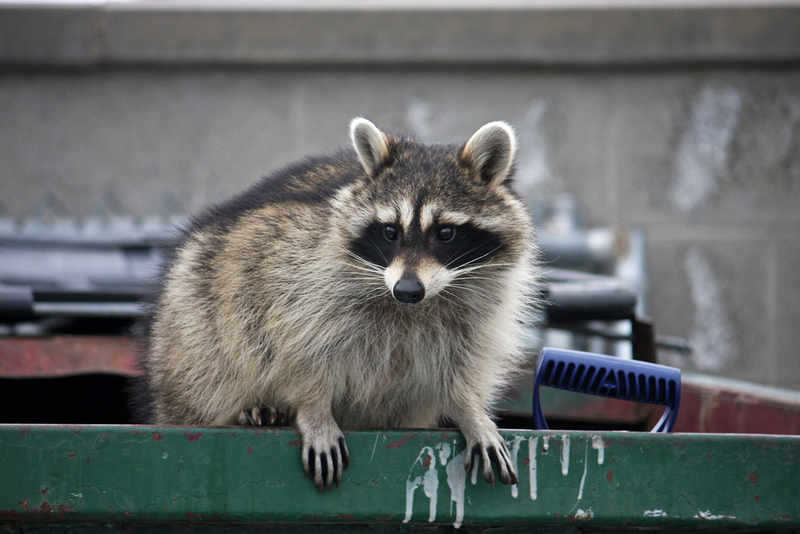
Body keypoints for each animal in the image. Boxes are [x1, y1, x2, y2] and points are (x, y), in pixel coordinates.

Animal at [139, 118, 536, 494]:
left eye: (446, 233)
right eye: (390, 232)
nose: (407, 290)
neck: (414, 304)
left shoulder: (481, 306)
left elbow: (465, 361)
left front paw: (471, 410)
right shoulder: (295, 268)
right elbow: (297, 347)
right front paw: (313, 409)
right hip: (192, 315)